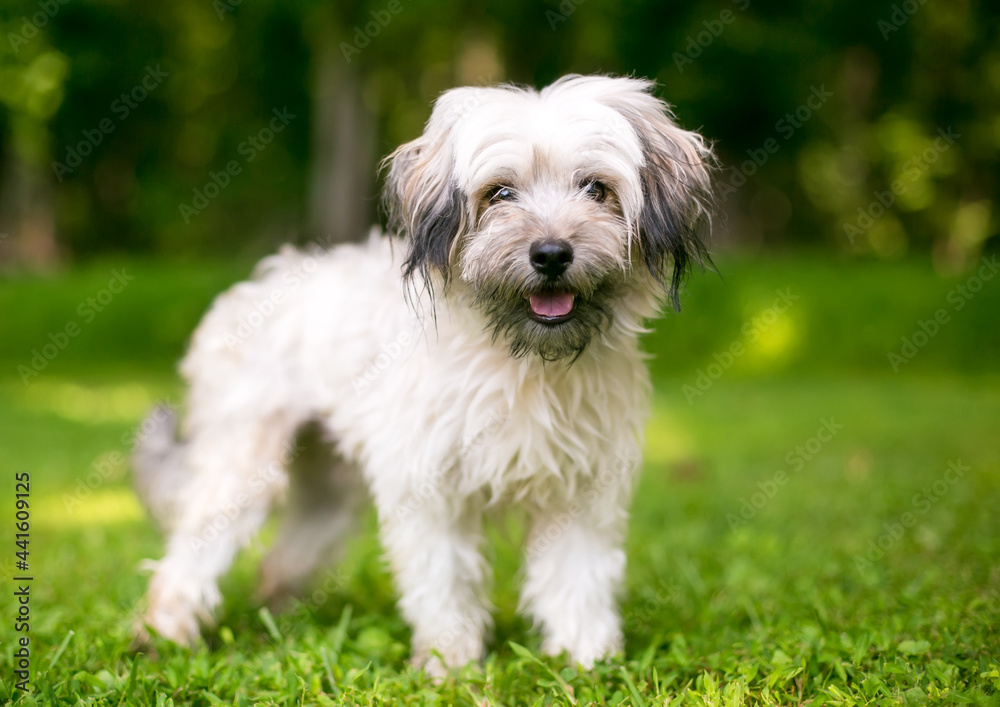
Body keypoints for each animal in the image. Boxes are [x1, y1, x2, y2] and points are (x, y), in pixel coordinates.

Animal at [133, 73, 716, 676]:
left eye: (596, 189)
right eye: (499, 193)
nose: (552, 254)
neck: (522, 362)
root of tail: (255, 283)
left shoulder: (582, 490)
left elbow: (577, 580)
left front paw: (586, 661)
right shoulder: (431, 490)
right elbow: (446, 582)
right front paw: (450, 666)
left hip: (326, 490)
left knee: (283, 555)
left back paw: (279, 621)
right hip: (242, 468)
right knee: (190, 555)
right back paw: (164, 634)